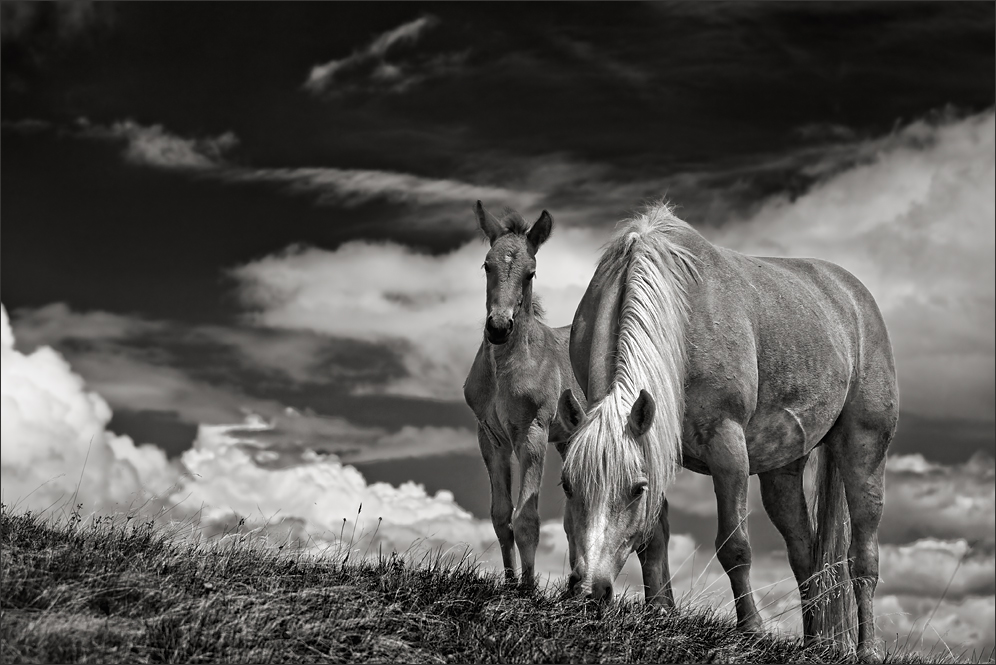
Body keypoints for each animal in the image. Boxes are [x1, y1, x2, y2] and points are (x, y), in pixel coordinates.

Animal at [462, 201, 588, 588]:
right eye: (486, 265)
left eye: (530, 273)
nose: (499, 328)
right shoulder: (491, 438)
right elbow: (501, 516)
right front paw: (510, 581)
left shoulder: (532, 432)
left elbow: (527, 518)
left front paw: (529, 589)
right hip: (570, 441)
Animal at [556, 201, 900, 660]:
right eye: (567, 485)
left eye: (635, 489)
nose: (588, 591)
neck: (682, 311)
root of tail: (854, 294)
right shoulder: (658, 445)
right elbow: (654, 536)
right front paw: (660, 610)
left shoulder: (727, 447)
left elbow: (734, 545)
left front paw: (751, 629)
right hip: (782, 469)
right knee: (805, 554)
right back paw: (812, 643)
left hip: (864, 449)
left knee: (863, 558)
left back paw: (867, 649)